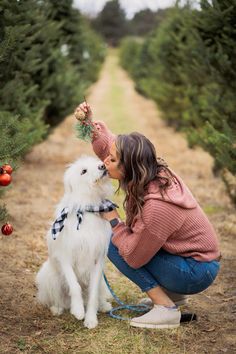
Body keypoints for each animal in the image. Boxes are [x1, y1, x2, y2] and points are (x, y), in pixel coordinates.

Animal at [35, 156, 114, 328]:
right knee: (58, 298)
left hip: (103, 282)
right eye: (83, 171)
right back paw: (57, 308)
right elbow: (74, 285)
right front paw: (78, 310)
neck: (88, 208)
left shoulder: (98, 261)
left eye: (97, 162)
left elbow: (92, 294)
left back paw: (104, 305)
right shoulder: (65, 256)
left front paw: (91, 319)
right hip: (49, 276)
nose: (102, 166)